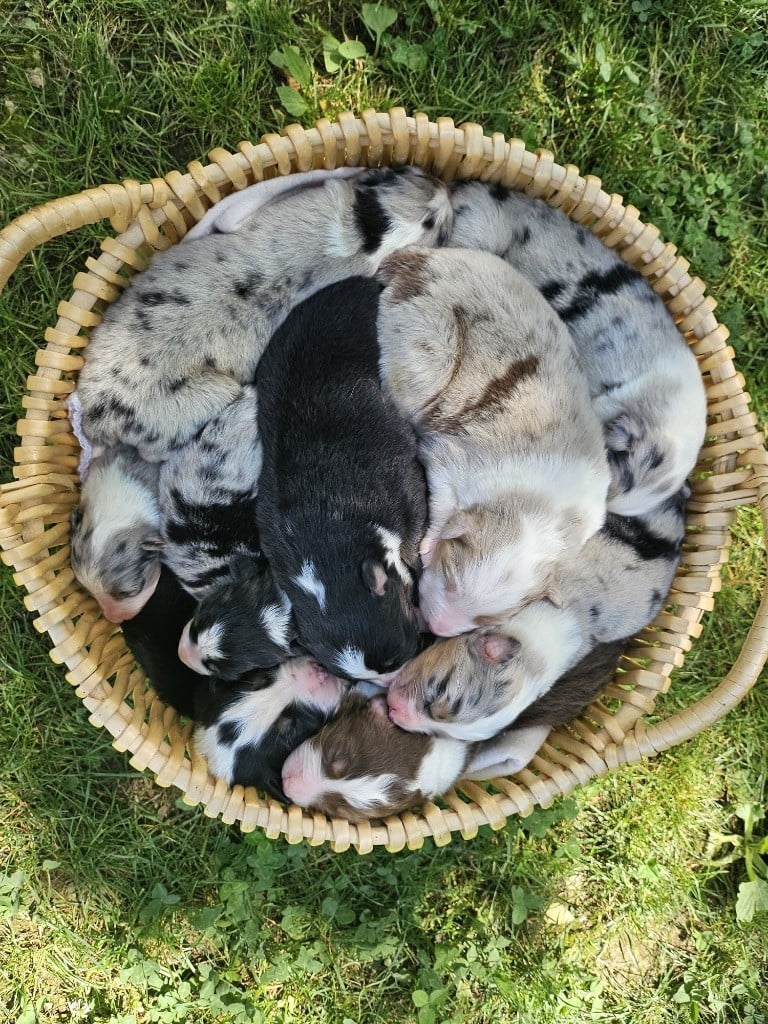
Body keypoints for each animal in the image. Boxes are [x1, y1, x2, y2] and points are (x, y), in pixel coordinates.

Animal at [376, 243, 610, 634]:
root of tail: (422, 259)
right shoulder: (448, 460)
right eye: (450, 577)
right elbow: (441, 503)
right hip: (423, 352)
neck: (533, 505)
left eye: (485, 621)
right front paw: (428, 544)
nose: (436, 630)